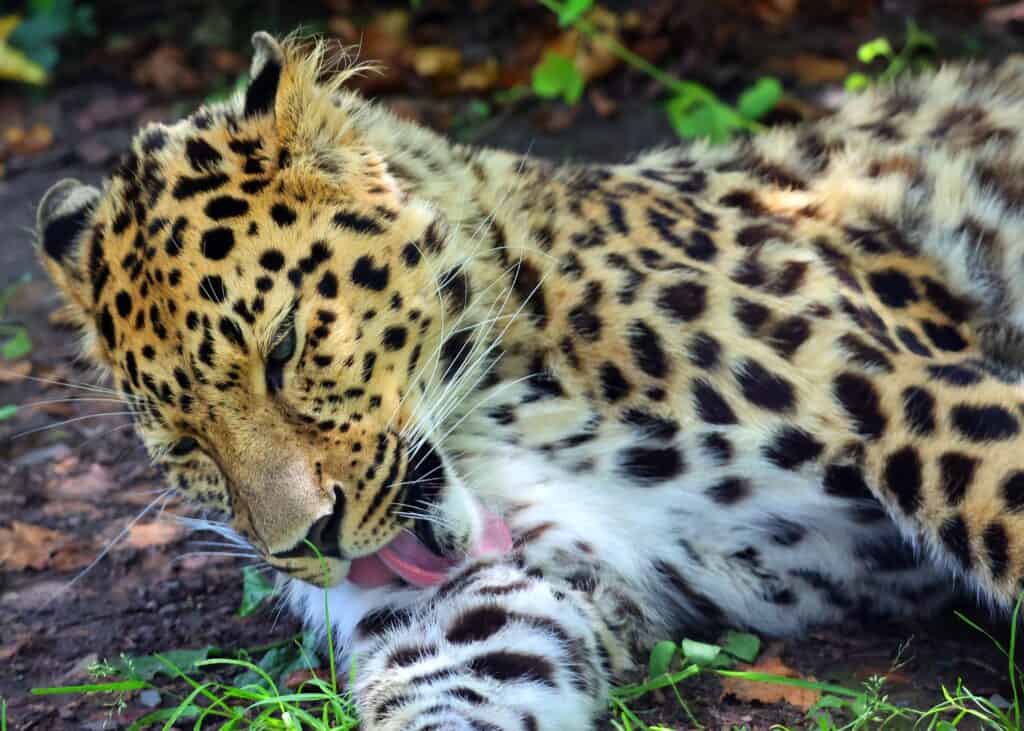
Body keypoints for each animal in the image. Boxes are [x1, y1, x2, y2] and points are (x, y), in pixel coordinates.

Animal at [36, 32, 1024, 728]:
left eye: (282, 348)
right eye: (185, 444)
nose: (306, 542)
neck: (495, 407)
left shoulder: (904, 398)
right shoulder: (484, 591)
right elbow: (460, 674)